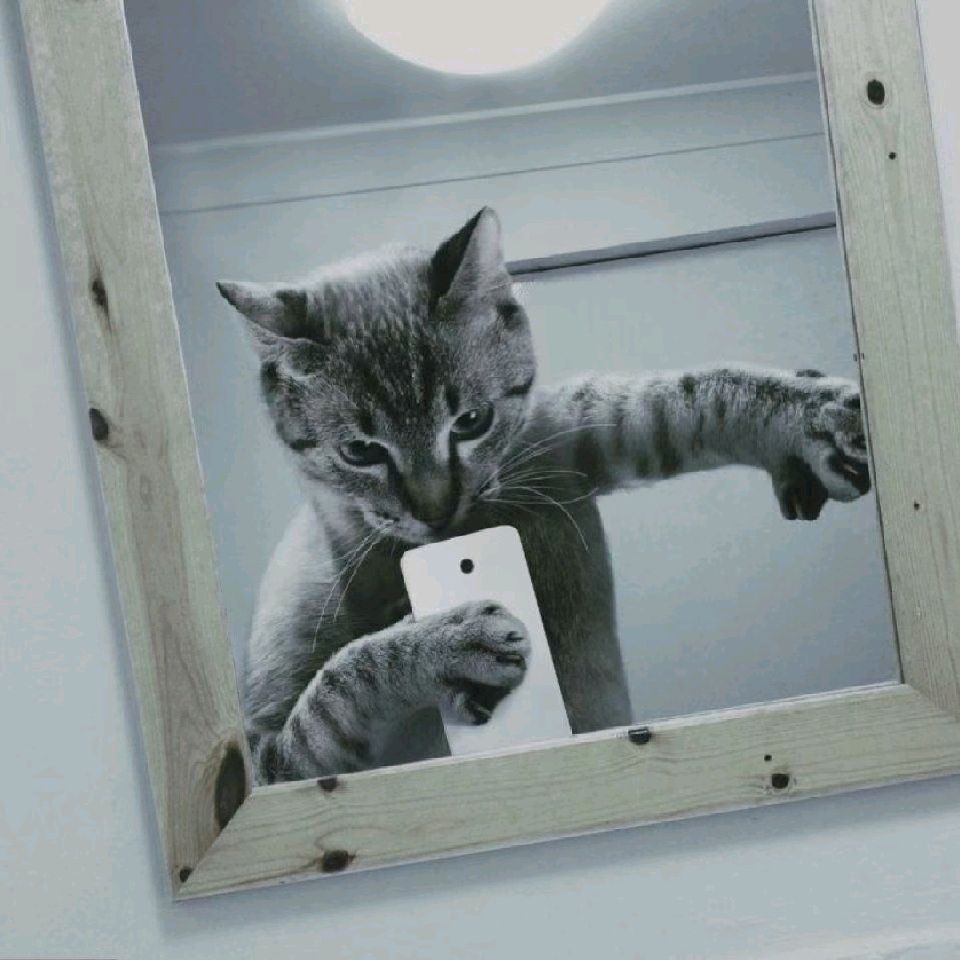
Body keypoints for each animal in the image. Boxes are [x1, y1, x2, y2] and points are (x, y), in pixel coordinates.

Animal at [216, 207, 871, 784]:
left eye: (471, 422)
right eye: (360, 453)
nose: (435, 512)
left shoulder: (567, 437)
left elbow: (691, 395)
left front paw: (811, 417)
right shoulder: (273, 766)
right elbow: (340, 682)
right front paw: (442, 640)